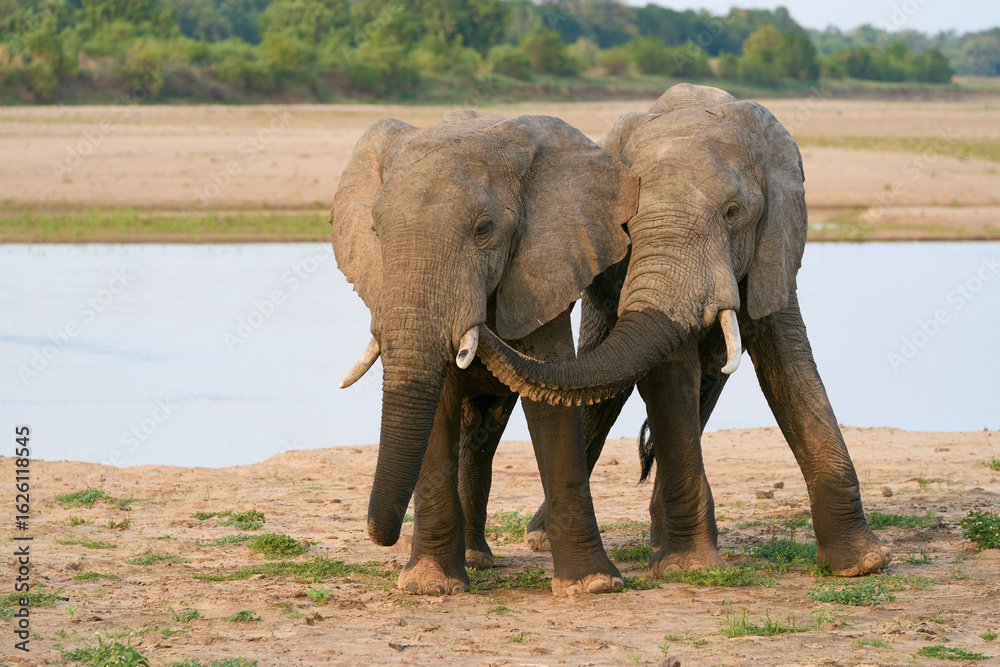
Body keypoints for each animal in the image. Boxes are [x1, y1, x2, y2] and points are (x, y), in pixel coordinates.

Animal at [330, 108, 640, 595]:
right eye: (376, 231)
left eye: (483, 231)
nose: (379, 534)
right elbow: (437, 408)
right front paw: (429, 585)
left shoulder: (544, 268)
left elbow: (552, 397)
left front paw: (593, 585)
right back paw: (471, 560)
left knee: (484, 434)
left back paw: (478, 557)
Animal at [478, 84, 893, 578]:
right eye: (625, 223)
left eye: (733, 213)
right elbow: (671, 377)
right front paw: (691, 569)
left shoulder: (773, 244)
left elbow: (791, 368)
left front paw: (863, 563)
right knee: (609, 388)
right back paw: (545, 537)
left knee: (703, 387)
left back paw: (657, 536)